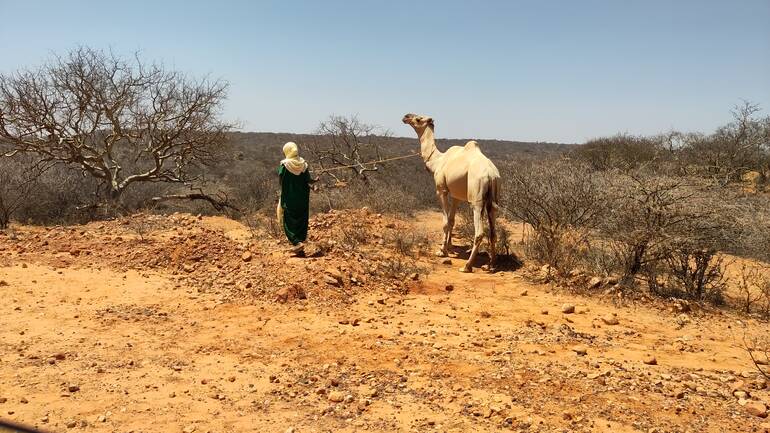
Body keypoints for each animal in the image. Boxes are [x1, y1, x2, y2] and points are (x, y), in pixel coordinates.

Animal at [402, 113, 500, 272]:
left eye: (419, 119)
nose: (406, 116)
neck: (437, 161)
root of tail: (491, 175)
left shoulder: (441, 190)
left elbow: (445, 221)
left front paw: (442, 251)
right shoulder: (456, 195)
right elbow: (452, 220)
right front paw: (450, 246)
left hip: (476, 198)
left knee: (479, 231)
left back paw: (467, 266)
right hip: (493, 199)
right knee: (493, 231)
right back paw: (490, 265)